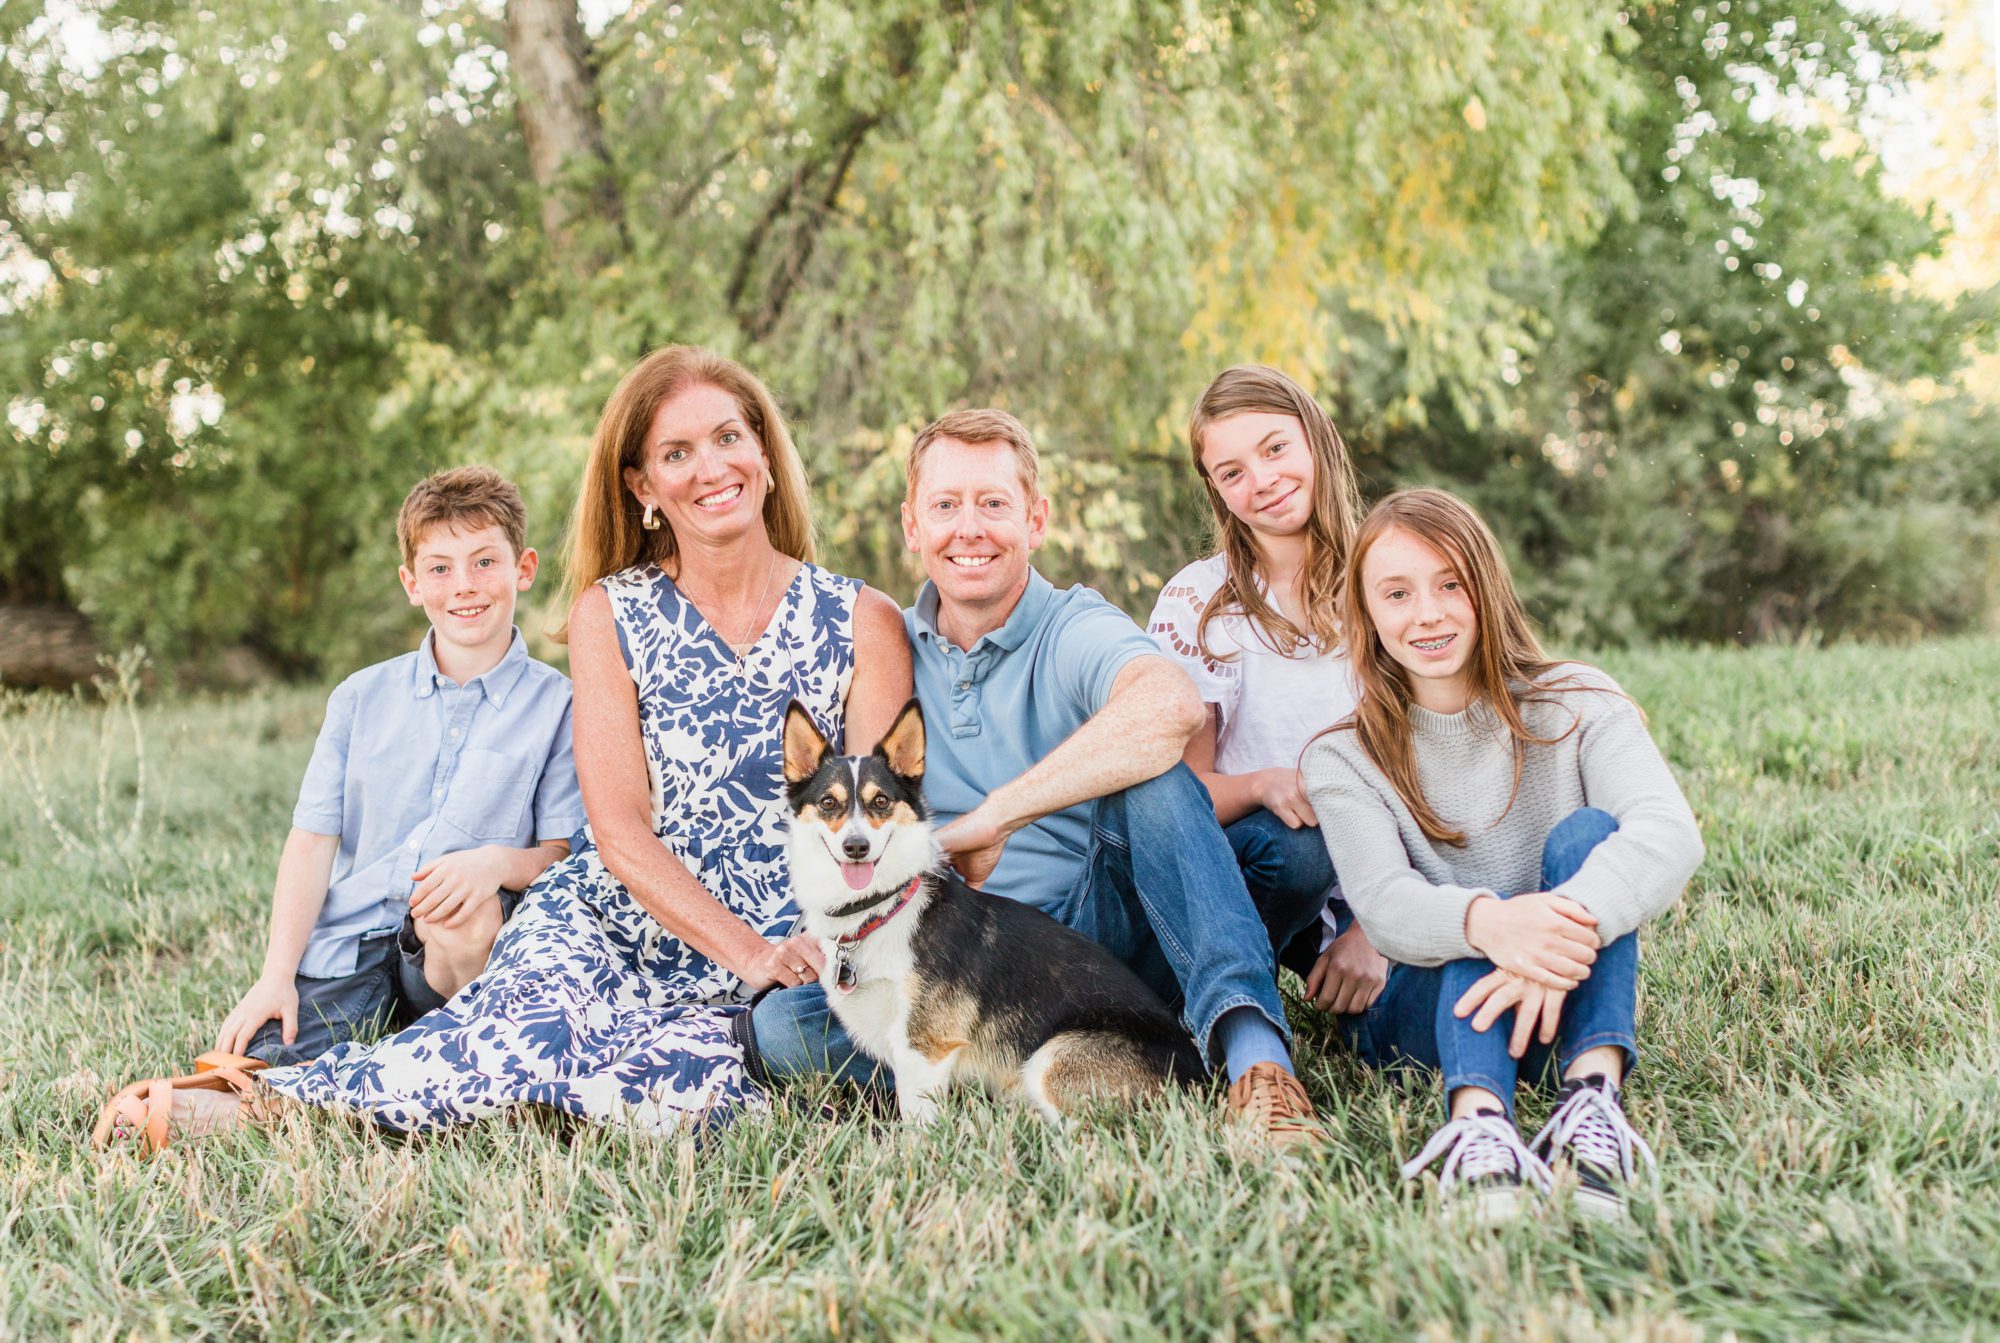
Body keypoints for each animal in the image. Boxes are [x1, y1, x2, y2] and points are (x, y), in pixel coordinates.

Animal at [780, 699, 1200, 1127]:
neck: (881, 907)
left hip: (1053, 1058)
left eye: (880, 801)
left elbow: (918, 1122)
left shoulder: (924, 1046)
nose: (856, 847)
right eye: (828, 803)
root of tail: (1198, 1078)